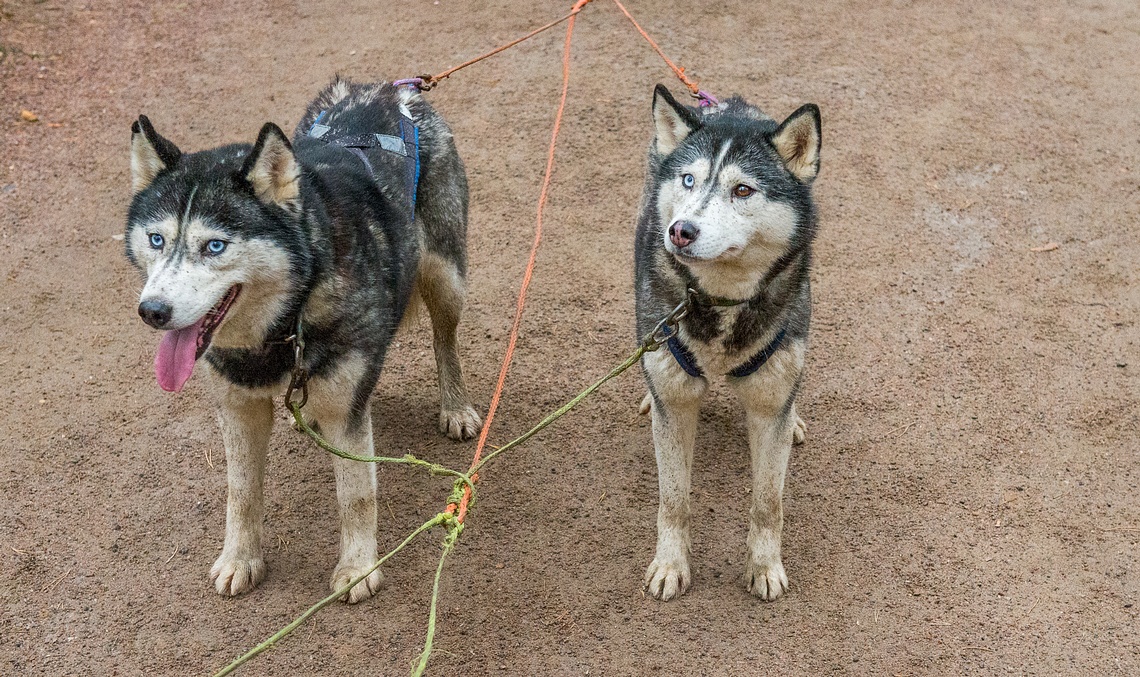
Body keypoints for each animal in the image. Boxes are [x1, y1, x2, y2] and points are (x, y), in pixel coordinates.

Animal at [124, 79, 481, 601]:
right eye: (156, 240)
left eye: (215, 246)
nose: (153, 312)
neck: (286, 322)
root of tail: (385, 89)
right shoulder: (238, 407)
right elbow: (241, 491)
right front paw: (241, 559)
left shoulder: (348, 412)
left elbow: (356, 493)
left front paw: (358, 568)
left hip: (444, 277)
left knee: (446, 341)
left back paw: (455, 406)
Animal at [633, 85, 820, 601]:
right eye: (689, 180)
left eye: (742, 190)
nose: (681, 230)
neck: (721, 299)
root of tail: (727, 102)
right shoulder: (676, 401)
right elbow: (673, 499)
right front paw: (670, 565)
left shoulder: (769, 403)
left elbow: (768, 502)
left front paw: (764, 567)